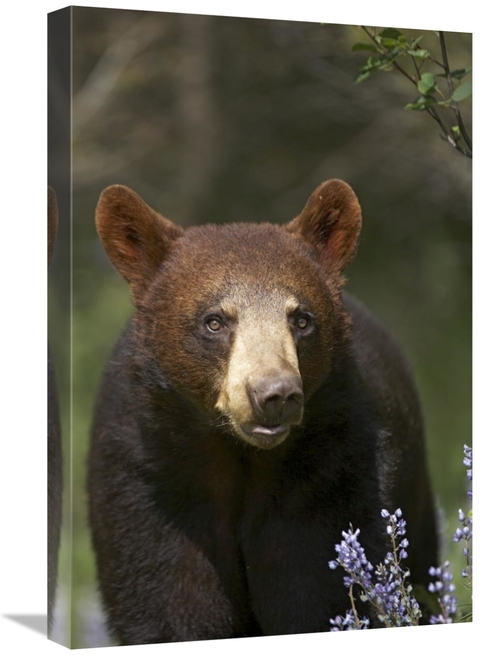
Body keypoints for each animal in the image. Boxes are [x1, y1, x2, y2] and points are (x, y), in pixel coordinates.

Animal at [87, 179, 438, 645]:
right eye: (214, 321)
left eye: (302, 319)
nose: (276, 394)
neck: (241, 459)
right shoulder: (150, 486)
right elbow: (170, 605)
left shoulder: (333, 479)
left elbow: (321, 595)